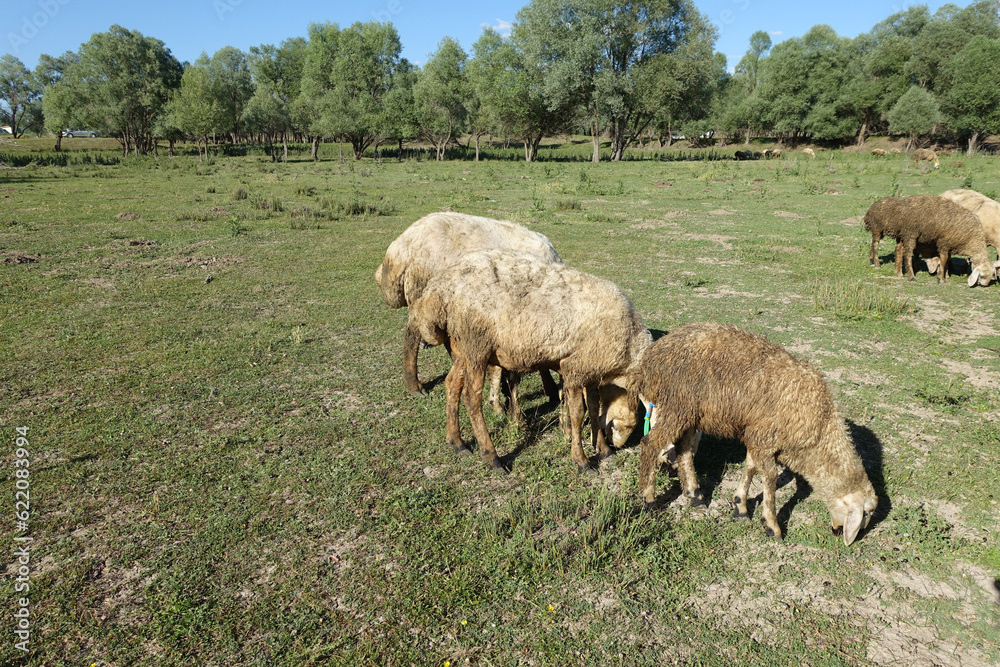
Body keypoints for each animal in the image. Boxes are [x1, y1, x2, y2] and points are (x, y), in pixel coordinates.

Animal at [408, 250, 652, 473]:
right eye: (630, 424)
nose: (616, 445)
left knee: (452, 384)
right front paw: (582, 460)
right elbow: (577, 413)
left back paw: (457, 442)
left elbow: (592, 406)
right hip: (477, 343)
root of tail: (439, 289)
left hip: (462, 347)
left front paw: (603, 449)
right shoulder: (574, 369)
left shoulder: (591, 370)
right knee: (471, 397)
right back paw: (492, 457)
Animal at [636, 322, 878, 545]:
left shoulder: (759, 438)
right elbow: (770, 478)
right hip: (677, 403)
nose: (841, 533)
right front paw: (772, 525)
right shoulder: (765, 438)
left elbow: (750, 468)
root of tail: (652, 355)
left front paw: (740, 506)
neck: (819, 430)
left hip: (689, 411)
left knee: (684, 450)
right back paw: (649, 499)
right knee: (650, 444)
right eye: (866, 513)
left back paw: (695, 495)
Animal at [863, 195, 998, 287]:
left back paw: (898, 272)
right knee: (899, 251)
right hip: (904, 232)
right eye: (982, 275)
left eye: (992, 275)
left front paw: (946, 275)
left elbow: (947, 260)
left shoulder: (948, 245)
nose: (983, 285)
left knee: (899, 250)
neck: (971, 238)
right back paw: (907, 275)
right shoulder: (944, 243)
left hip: (903, 234)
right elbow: (944, 260)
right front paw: (941, 279)